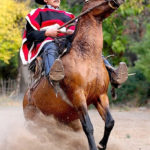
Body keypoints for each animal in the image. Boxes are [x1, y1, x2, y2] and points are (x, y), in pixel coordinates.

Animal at [22, 0, 125, 149]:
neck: (87, 57)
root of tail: (26, 97)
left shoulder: (100, 95)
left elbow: (110, 122)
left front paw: (101, 145)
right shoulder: (78, 96)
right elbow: (88, 127)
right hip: (34, 121)